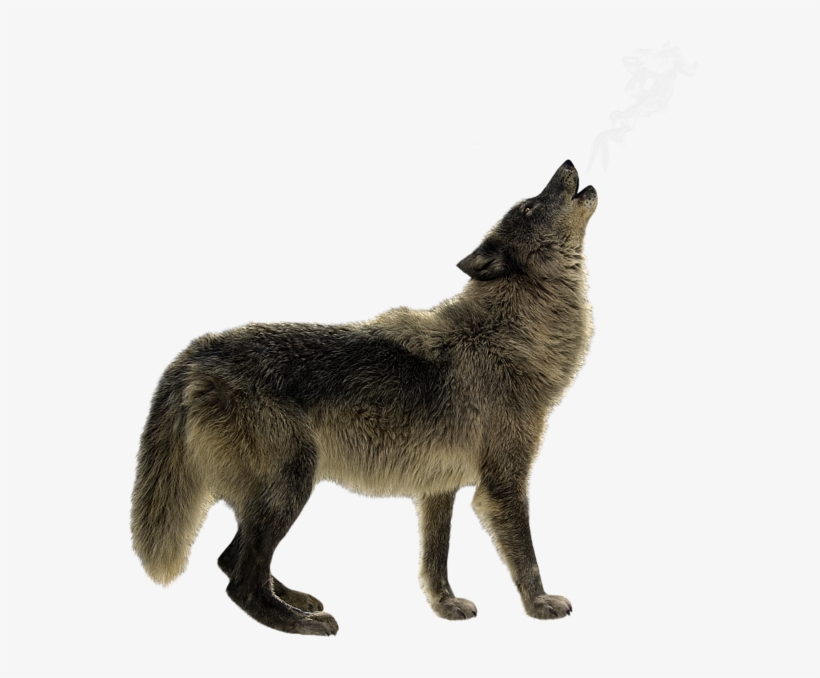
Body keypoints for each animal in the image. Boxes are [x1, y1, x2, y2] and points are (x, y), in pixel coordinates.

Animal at [131, 160, 598, 636]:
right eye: (528, 208)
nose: (567, 163)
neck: (508, 333)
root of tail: (196, 353)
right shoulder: (503, 483)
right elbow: (527, 556)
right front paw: (539, 604)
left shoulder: (438, 488)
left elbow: (436, 561)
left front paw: (445, 606)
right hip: (291, 484)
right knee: (240, 580)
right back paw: (300, 622)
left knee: (231, 560)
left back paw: (296, 600)